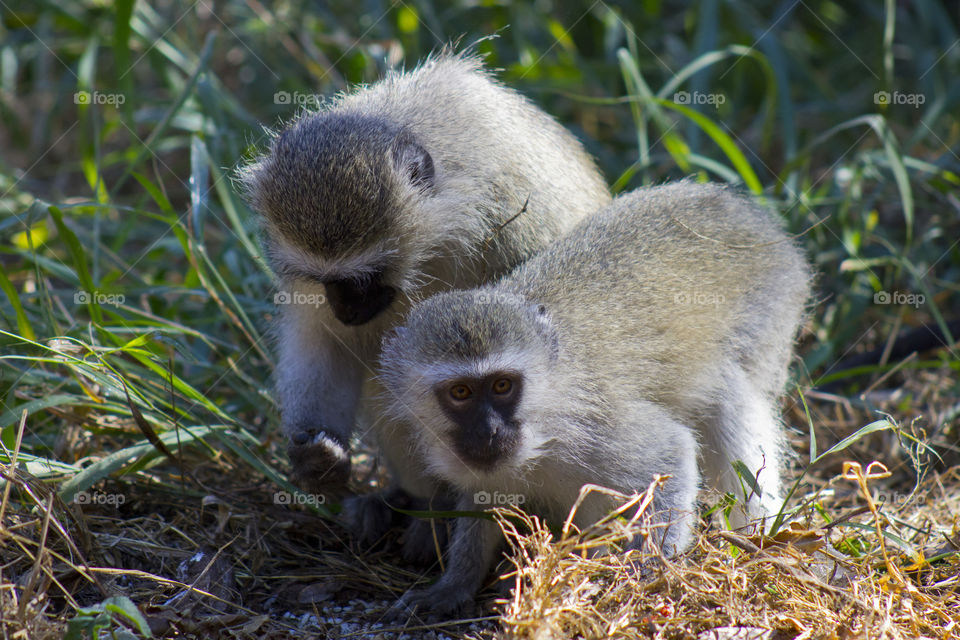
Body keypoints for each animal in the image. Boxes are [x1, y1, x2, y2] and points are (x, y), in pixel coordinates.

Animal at [237, 52, 610, 538]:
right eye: (325, 280)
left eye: (364, 278)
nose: (345, 308)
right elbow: (326, 342)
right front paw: (316, 457)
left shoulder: (518, 219)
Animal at [378, 181, 812, 616]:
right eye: (461, 393)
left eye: (502, 386)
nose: (489, 430)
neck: (543, 422)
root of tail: (737, 208)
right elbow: (484, 503)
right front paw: (455, 583)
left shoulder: (594, 426)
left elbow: (671, 453)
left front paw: (647, 574)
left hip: (771, 306)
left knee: (730, 395)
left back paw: (758, 536)